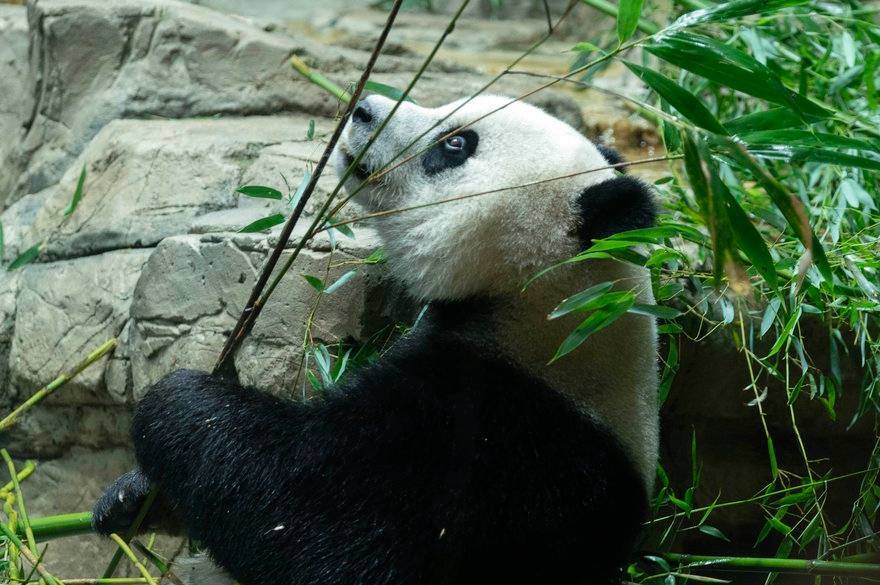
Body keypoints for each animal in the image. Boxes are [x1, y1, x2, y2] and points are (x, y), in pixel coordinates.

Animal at [94, 93, 660, 580]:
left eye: (456, 144)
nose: (364, 109)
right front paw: (129, 499)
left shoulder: (501, 454)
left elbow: (311, 524)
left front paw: (179, 402)